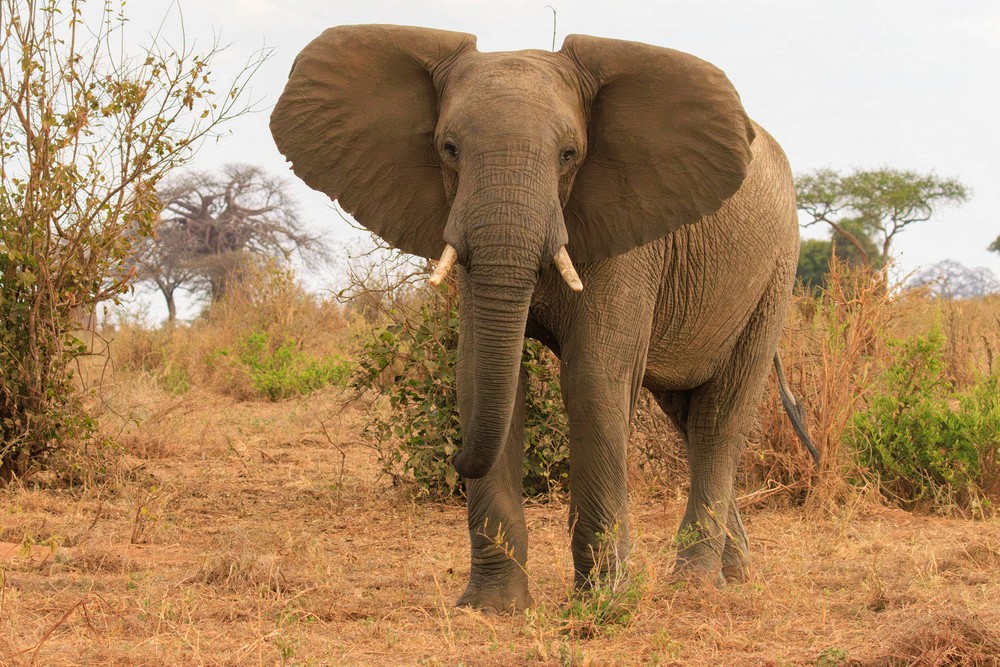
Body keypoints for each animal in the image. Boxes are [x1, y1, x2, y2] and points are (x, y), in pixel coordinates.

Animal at [270, 24, 815, 612]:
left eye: (570, 154)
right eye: (449, 149)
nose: (455, 458)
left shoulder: (630, 236)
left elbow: (593, 379)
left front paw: (603, 600)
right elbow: (480, 377)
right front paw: (493, 609)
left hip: (775, 273)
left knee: (719, 417)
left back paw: (693, 583)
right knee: (686, 417)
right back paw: (733, 573)